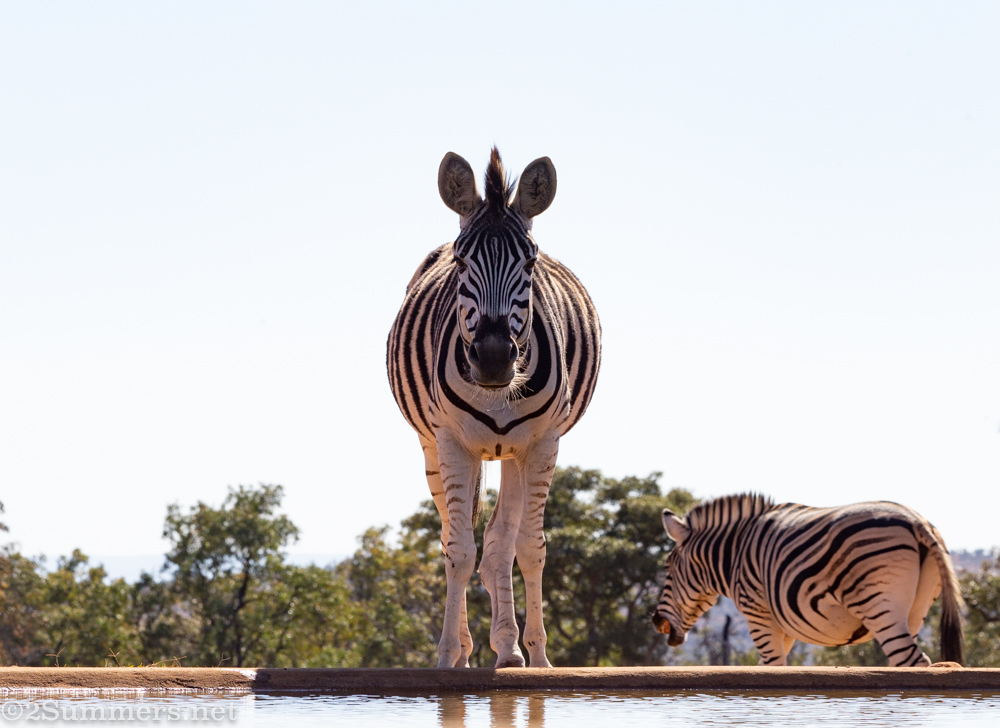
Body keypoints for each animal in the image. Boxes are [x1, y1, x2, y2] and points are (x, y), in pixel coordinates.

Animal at [387, 148, 601, 668]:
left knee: (501, 543)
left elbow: (528, 546)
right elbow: (459, 550)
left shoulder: (543, 444)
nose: (492, 357)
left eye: (530, 261)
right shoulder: (451, 442)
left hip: (514, 453)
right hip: (432, 448)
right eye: (462, 260)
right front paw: (448, 654)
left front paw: (538, 655)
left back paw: (508, 647)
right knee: (455, 535)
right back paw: (470, 649)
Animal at [652, 494, 964, 666]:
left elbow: (773, 667)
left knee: (910, 659)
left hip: (877, 605)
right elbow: (766, 666)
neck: (736, 553)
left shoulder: (758, 615)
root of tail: (916, 521)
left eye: (668, 568)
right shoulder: (782, 627)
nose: (655, 620)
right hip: (915, 610)